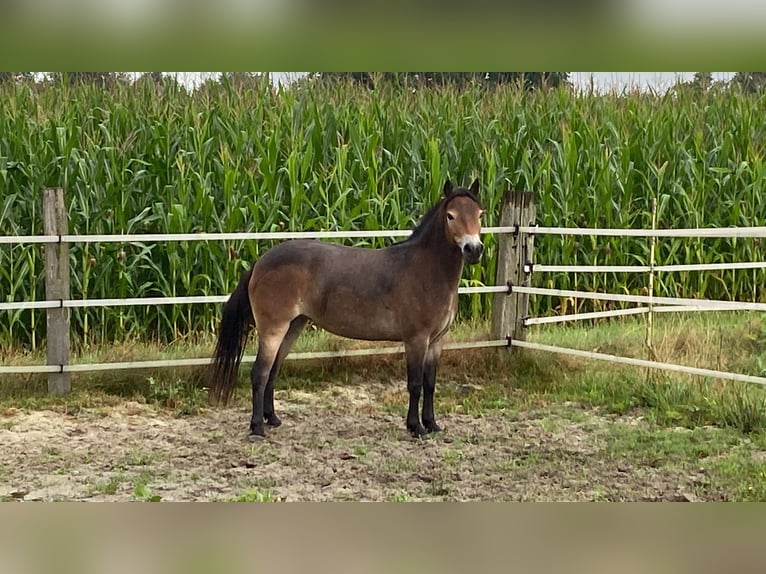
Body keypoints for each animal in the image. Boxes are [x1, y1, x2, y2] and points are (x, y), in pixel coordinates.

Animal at [208, 180, 486, 440]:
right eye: (451, 216)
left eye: (480, 214)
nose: (473, 249)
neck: (426, 270)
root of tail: (260, 262)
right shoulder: (416, 340)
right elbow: (415, 384)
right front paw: (415, 427)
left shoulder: (437, 341)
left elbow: (430, 383)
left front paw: (432, 424)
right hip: (273, 329)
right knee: (260, 372)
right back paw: (257, 427)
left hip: (293, 327)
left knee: (273, 371)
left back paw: (272, 419)